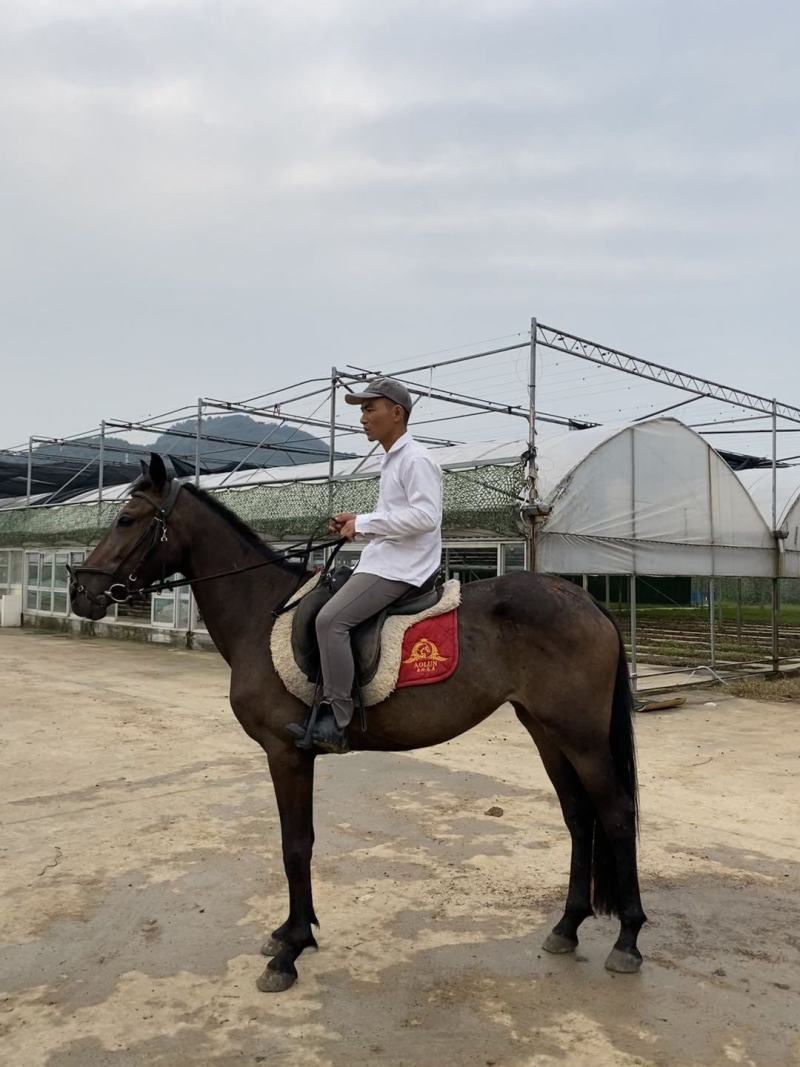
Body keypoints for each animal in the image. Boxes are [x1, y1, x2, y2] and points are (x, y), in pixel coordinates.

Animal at [69, 454, 646, 993]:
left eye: (125, 519)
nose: (80, 592)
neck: (262, 611)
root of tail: (582, 597)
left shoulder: (286, 753)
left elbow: (295, 845)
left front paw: (291, 949)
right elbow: (297, 842)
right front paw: (291, 933)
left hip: (582, 738)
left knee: (616, 815)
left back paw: (628, 940)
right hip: (546, 732)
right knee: (579, 817)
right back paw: (567, 927)